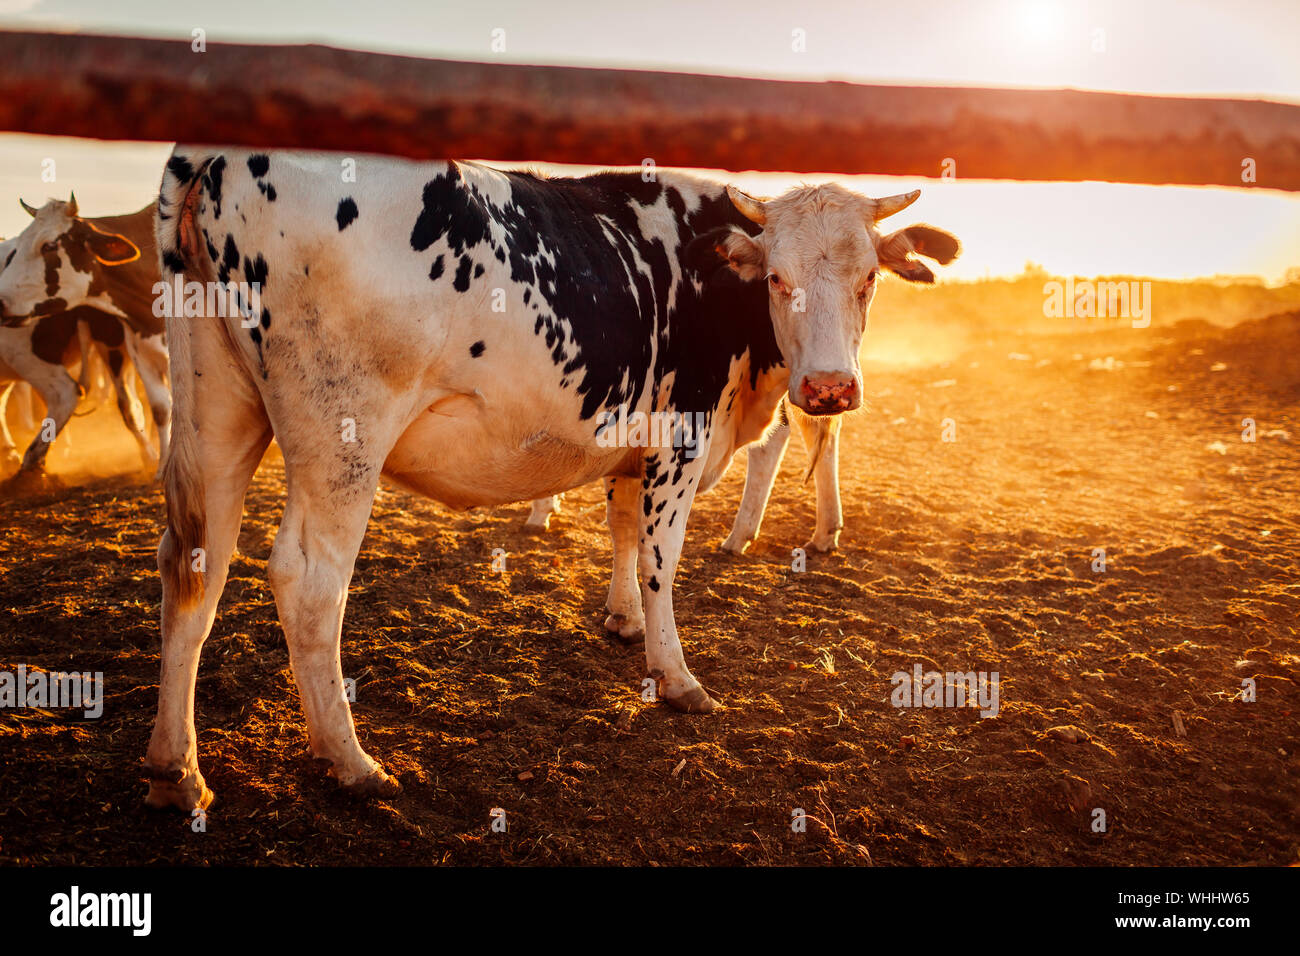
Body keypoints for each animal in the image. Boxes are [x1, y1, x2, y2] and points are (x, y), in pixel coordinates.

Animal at [0, 200, 172, 476]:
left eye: (49, 245)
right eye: (17, 249)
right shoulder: (140, 349)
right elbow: (159, 408)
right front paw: (163, 466)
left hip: (27, 354)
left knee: (63, 393)